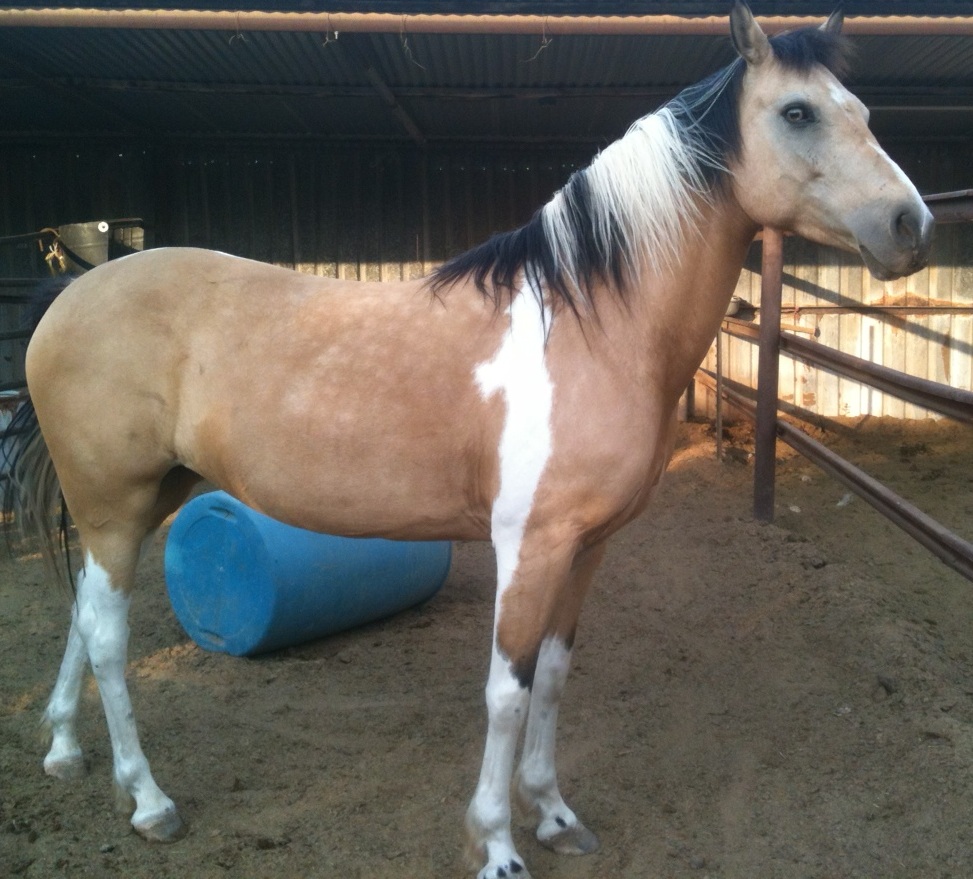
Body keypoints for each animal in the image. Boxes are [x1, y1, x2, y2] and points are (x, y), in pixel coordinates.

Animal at [4, 5, 932, 878]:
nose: (911, 225)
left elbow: (552, 676)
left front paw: (553, 814)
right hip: (115, 503)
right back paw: (148, 801)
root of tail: (71, 292)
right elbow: (506, 690)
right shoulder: (529, 545)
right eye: (797, 112)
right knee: (111, 638)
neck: (590, 324)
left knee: (83, 615)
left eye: (861, 109)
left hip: (143, 497)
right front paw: (496, 843)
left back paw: (64, 751)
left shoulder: (586, 546)